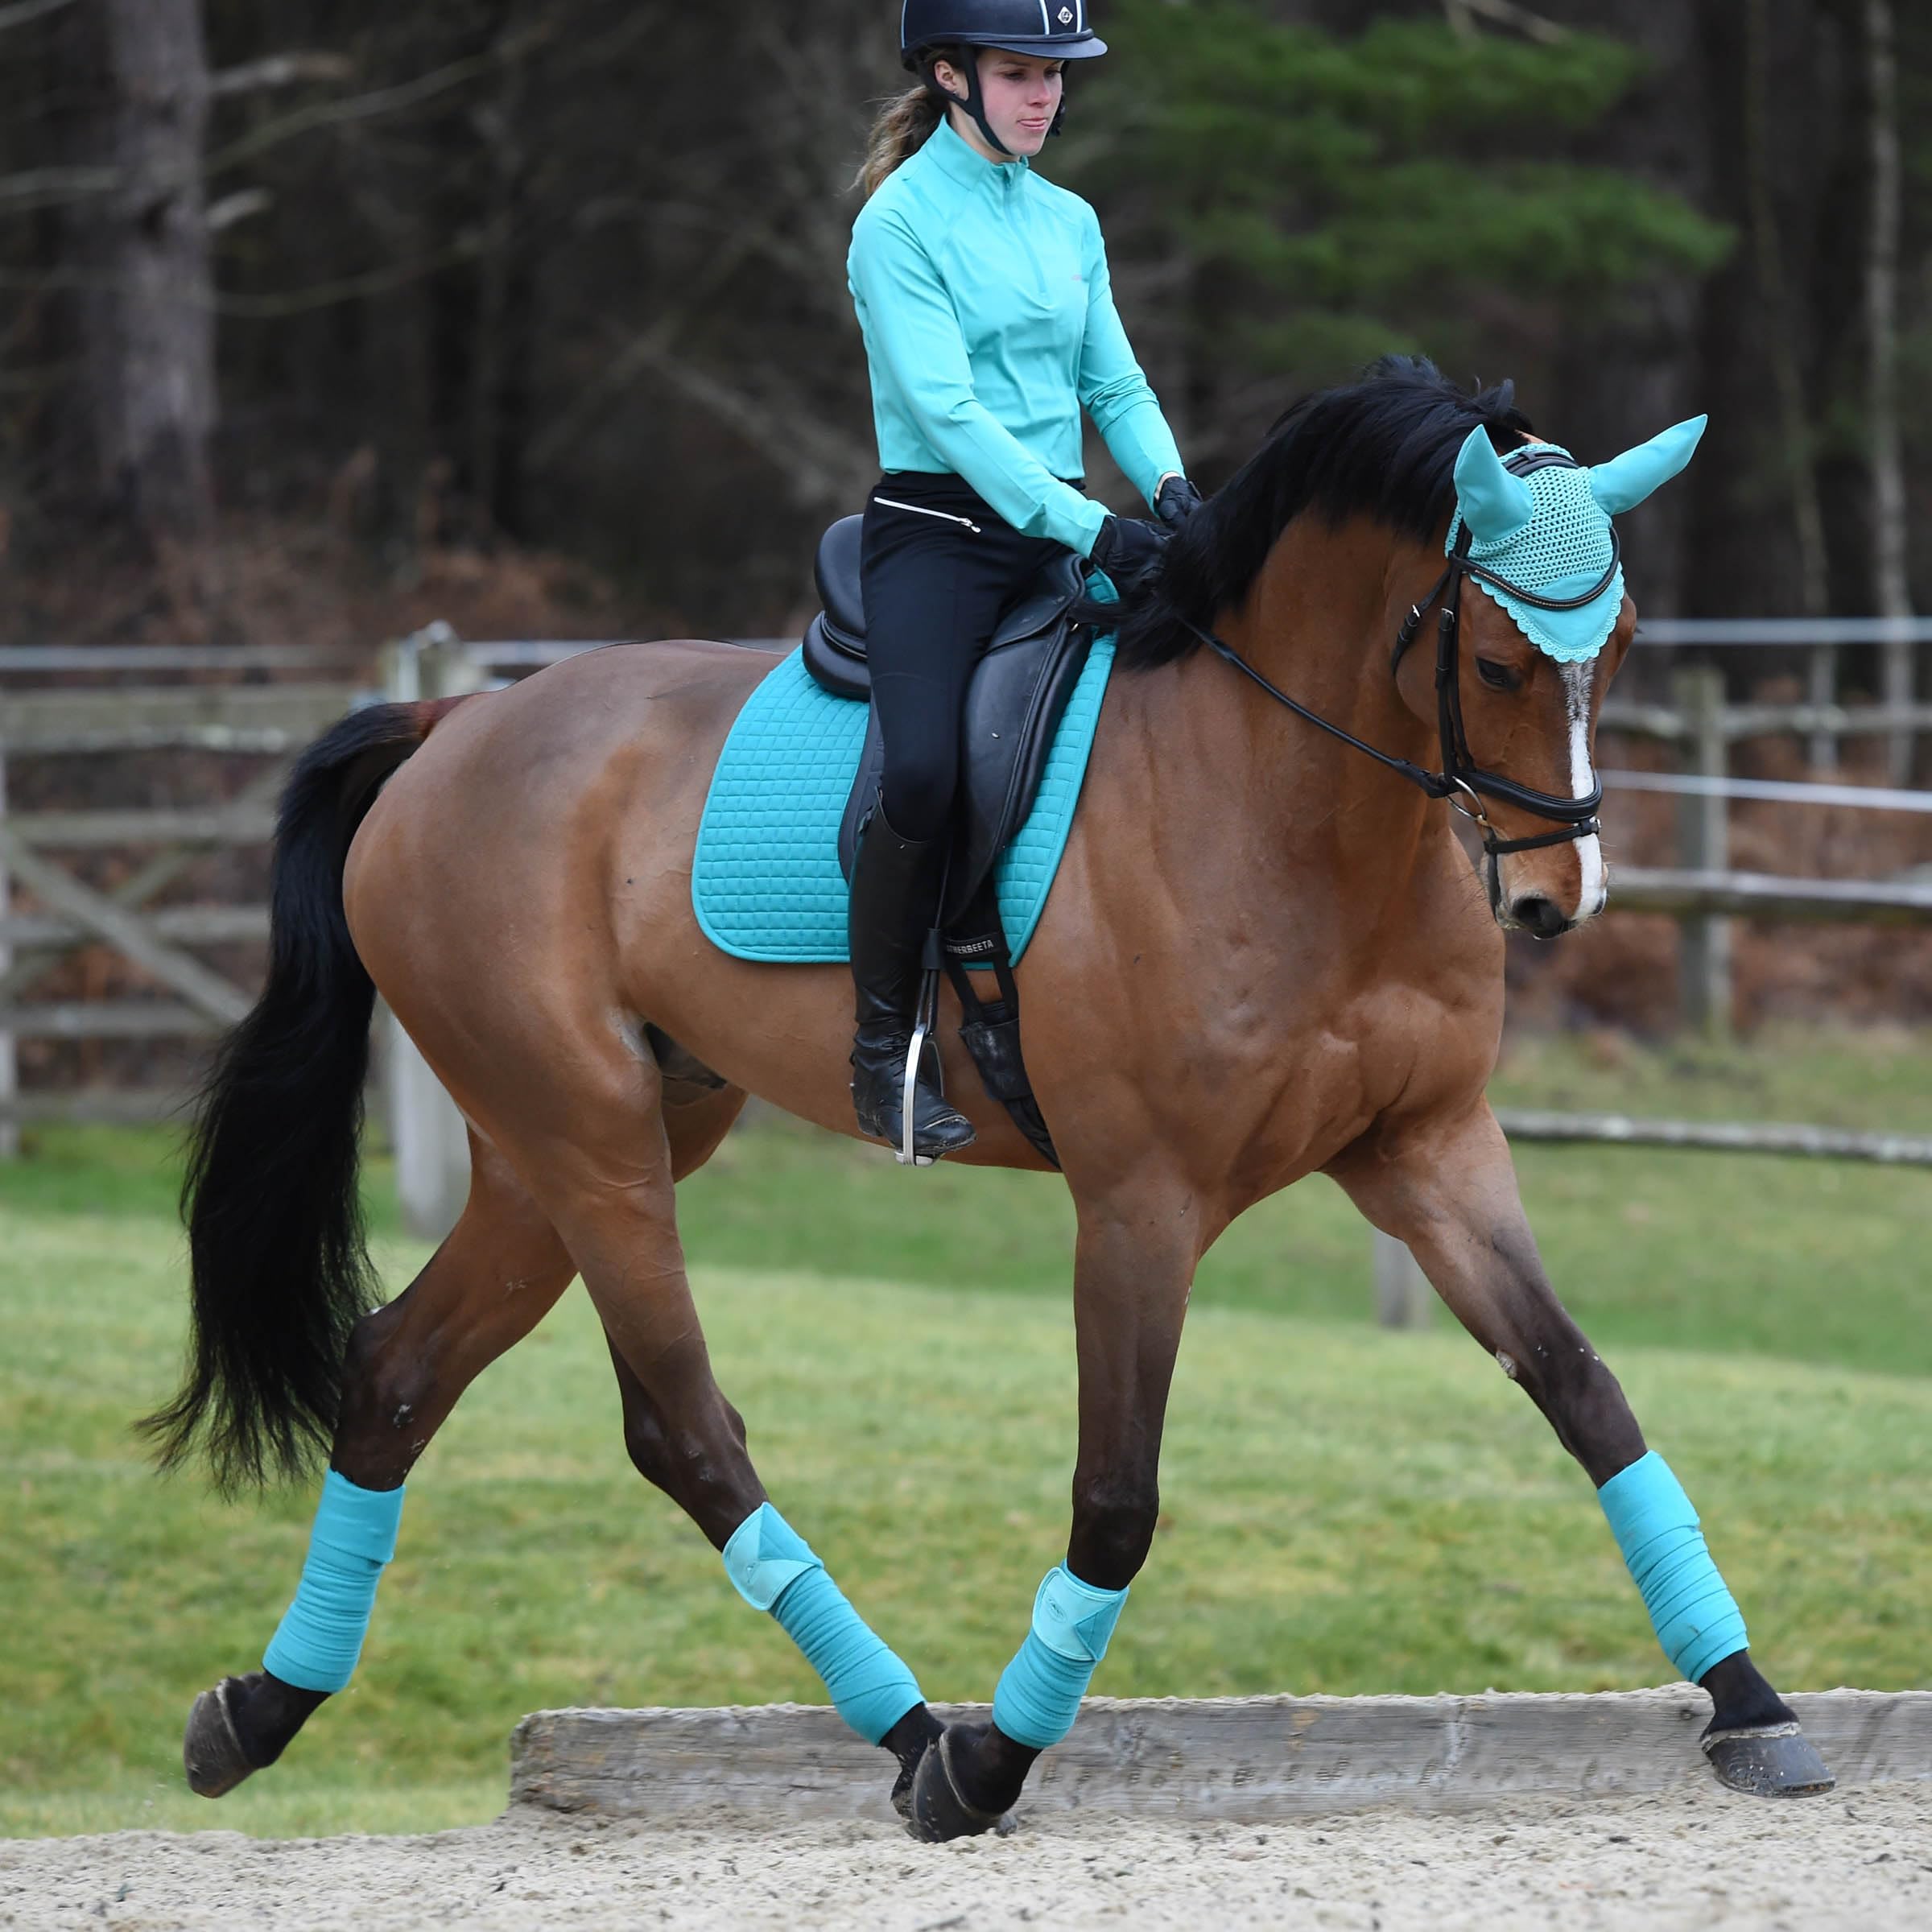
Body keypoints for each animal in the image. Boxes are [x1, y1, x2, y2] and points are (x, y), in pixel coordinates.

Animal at [147, 358, 1833, 1839]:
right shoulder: (1141, 1205)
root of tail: (450, 728)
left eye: (1617, 652)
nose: (1558, 903)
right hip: (593, 1147)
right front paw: (992, 1766)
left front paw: (1755, 1709)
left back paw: (257, 1712)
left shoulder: (1425, 1150)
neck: (1291, 807)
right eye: (1494, 661)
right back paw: (912, 1739)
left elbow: (1585, 1393)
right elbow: (1117, 1498)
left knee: (397, 1373)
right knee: (683, 1429)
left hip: (573, 1150)